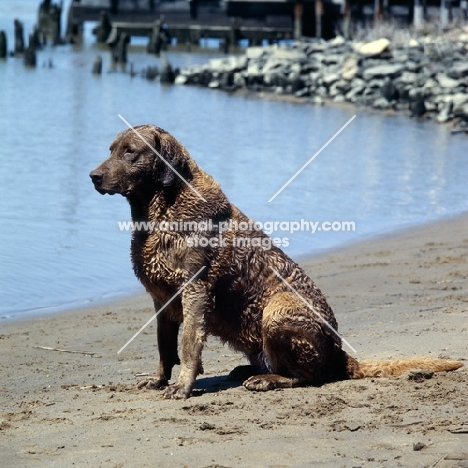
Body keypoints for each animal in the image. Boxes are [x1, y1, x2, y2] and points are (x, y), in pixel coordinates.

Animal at [89, 124, 462, 398]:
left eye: (130, 152)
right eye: (110, 149)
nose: (93, 175)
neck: (161, 211)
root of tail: (340, 353)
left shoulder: (195, 291)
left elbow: (189, 344)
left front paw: (183, 387)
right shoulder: (161, 298)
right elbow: (165, 347)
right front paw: (159, 380)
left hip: (278, 310)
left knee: (309, 376)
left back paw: (266, 380)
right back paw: (249, 371)